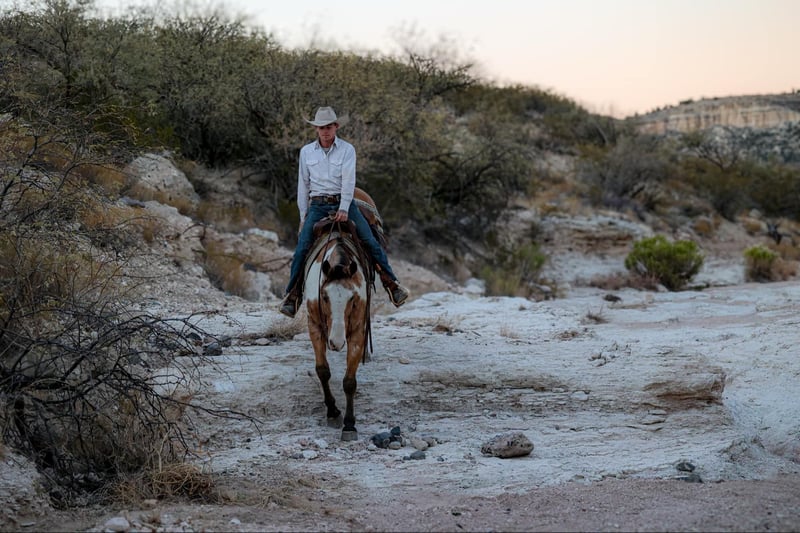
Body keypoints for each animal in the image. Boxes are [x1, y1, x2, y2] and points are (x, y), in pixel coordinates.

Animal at [302, 191, 377, 441]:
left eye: (352, 299)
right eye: (324, 297)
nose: (335, 342)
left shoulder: (357, 330)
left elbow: (349, 381)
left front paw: (350, 424)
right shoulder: (314, 325)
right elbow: (323, 371)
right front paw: (333, 412)